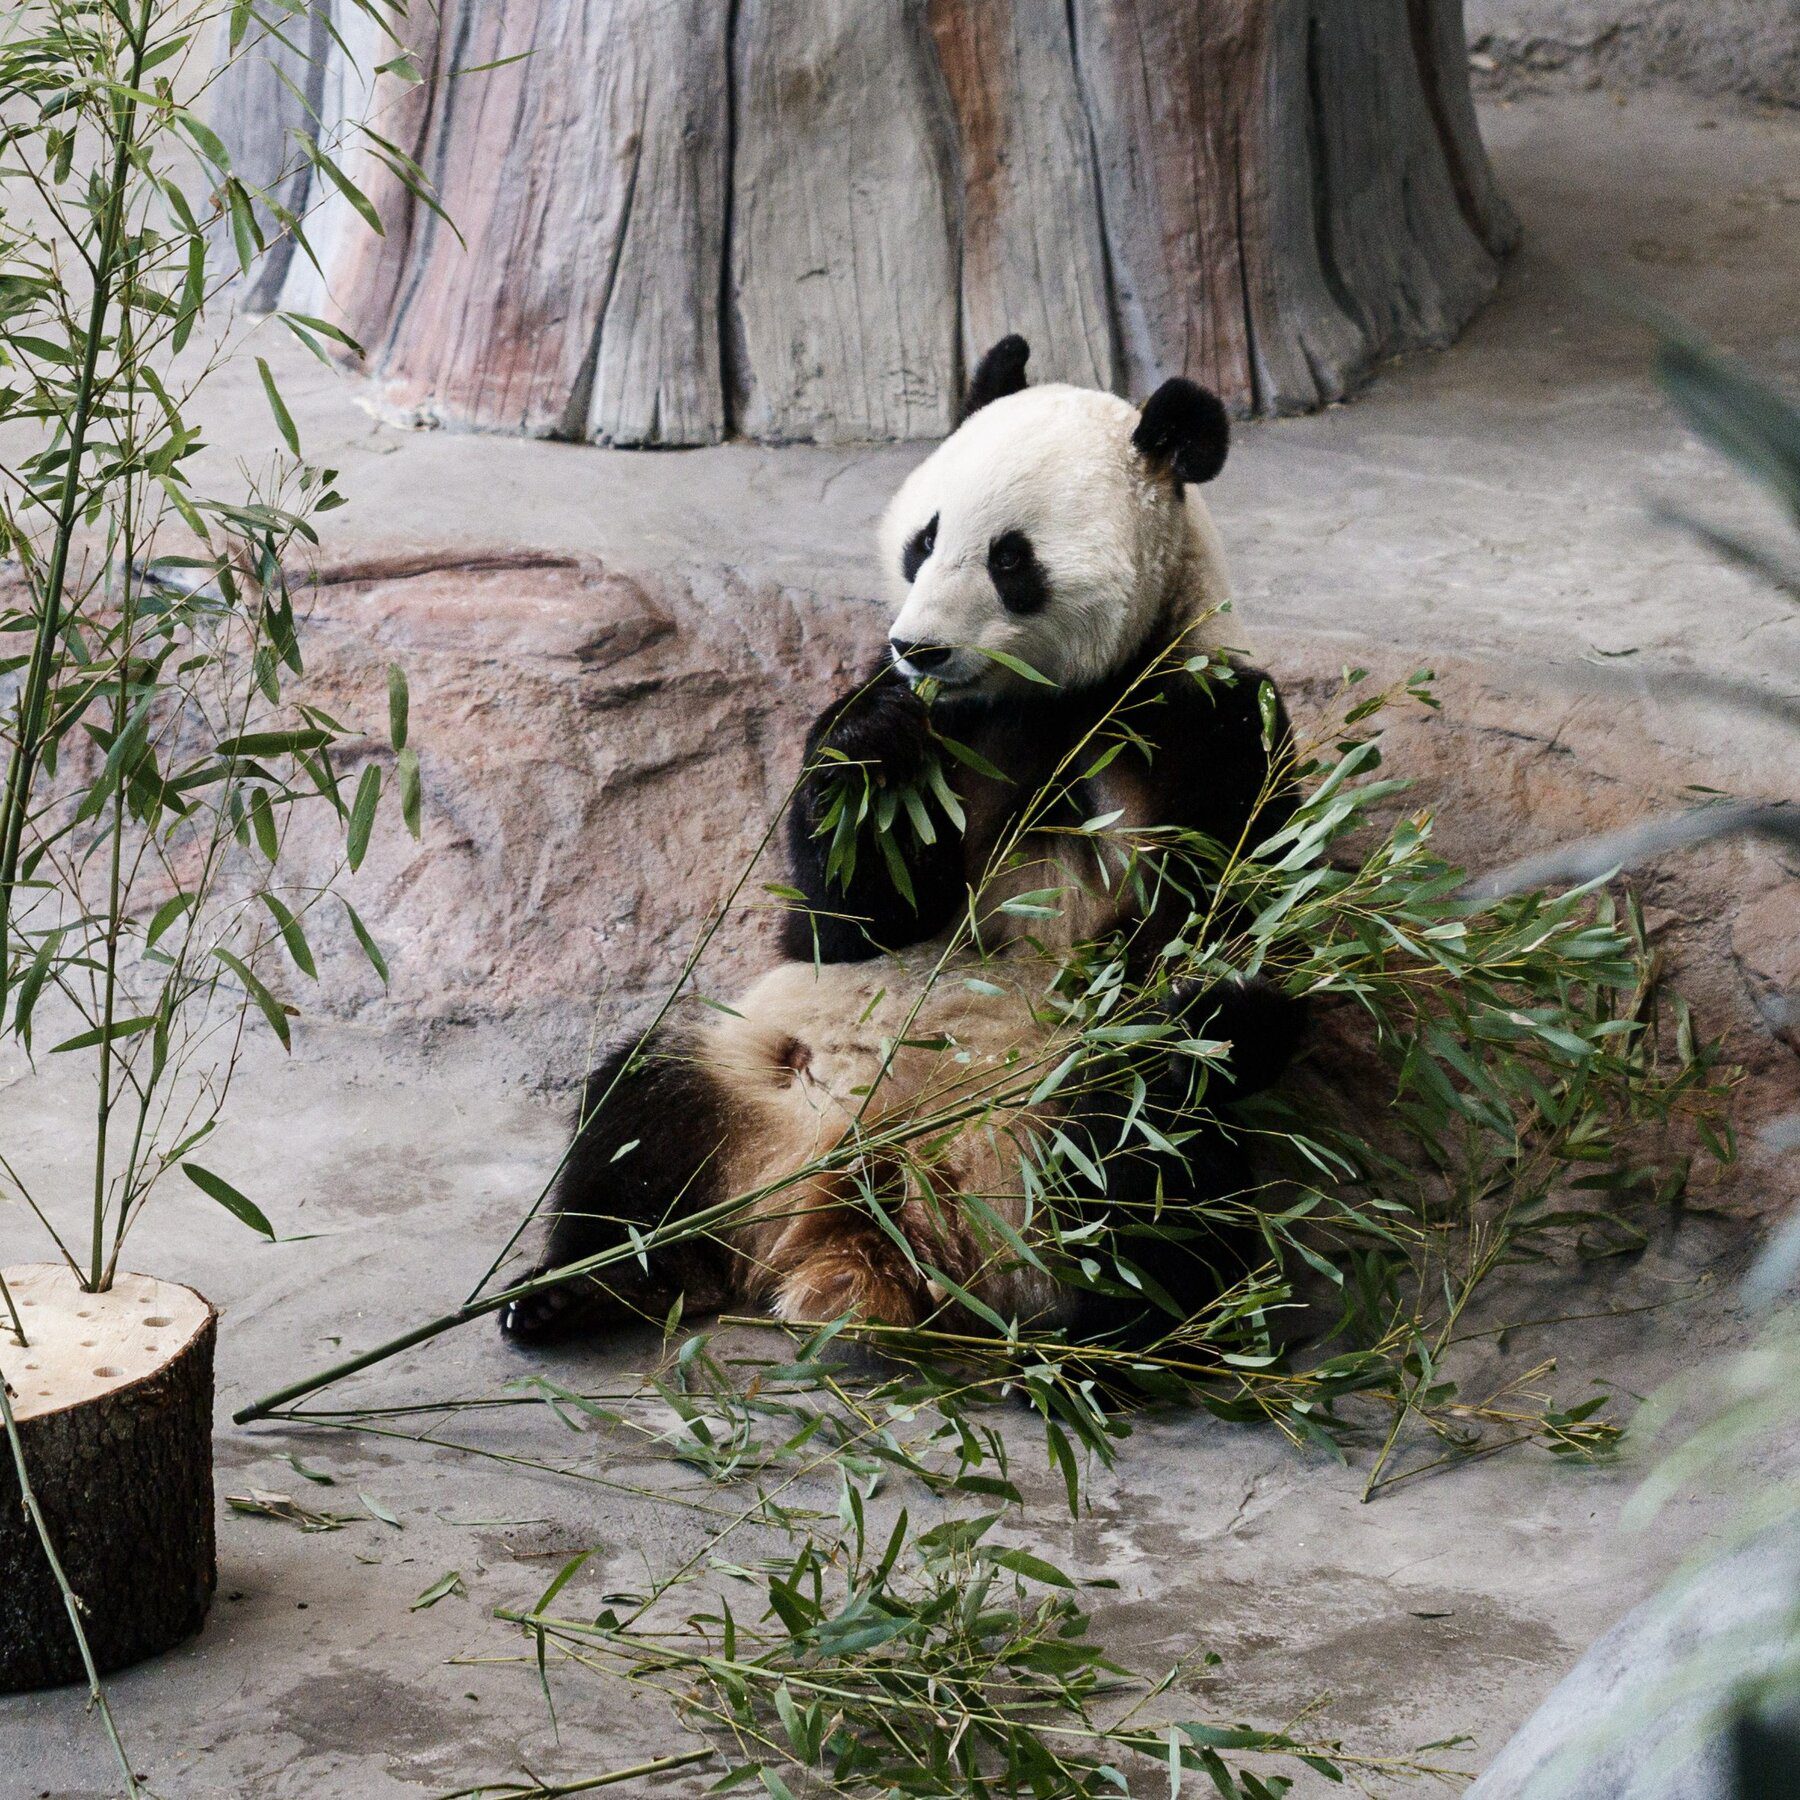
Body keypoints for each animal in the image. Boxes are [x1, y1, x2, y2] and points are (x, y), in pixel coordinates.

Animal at [499, 337, 1301, 1350]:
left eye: (1011, 559)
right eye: (924, 538)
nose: (915, 648)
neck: (1050, 702)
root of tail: (863, 1220)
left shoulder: (1205, 719)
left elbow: (1239, 915)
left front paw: (1212, 992)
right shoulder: (942, 732)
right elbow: (842, 919)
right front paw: (872, 745)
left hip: (1043, 1139)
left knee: (1145, 1166)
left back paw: (1141, 1341)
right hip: (751, 1070)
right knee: (637, 1111)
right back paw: (583, 1285)